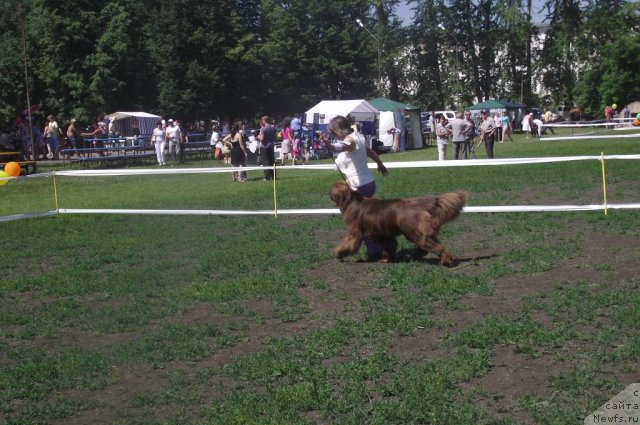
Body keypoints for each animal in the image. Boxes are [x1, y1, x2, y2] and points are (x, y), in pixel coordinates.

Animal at [330, 180, 464, 264]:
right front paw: (386, 259)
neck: (351, 200)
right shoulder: (383, 234)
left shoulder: (355, 235)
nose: (328, 194)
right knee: (428, 246)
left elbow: (346, 245)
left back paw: (446, 260)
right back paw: (417, 255)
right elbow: (388, 247)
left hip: (415, 232)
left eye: (331, 190)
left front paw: (338, 254)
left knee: (438, 247)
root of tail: (415, 203)